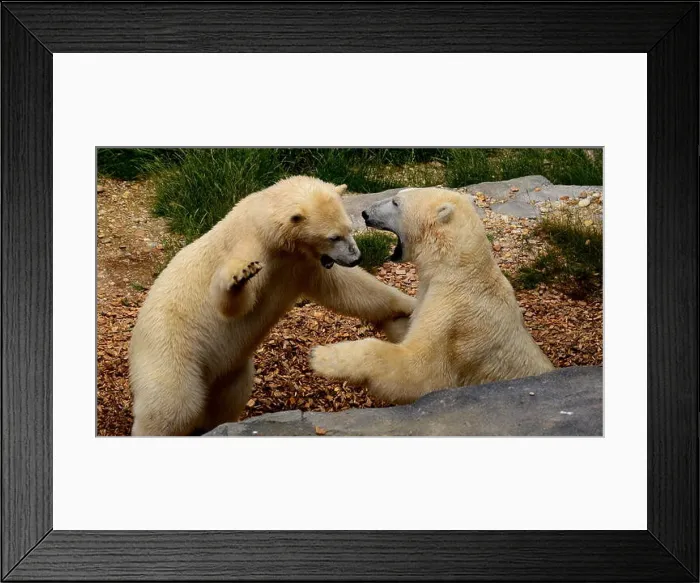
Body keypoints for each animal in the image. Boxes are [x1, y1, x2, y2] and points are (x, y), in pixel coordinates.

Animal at [129, 176, 416, 436]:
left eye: (349, 228)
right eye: (333, 236)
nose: (356, 257)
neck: (271, 236)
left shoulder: (301, 264)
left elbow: (347, 289)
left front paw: (408, 303)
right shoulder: (253, 249)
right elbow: (232, 306)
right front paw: (239, 276)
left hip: (229, 369)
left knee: (230, 394)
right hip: (171, 349)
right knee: (173, 405)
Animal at [310, 187, 554, 404]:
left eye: (396, 202)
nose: (365, 213)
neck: (461, 268)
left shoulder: (454, 314)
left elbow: (421, 371)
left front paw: (322, 357)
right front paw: (385, 315)